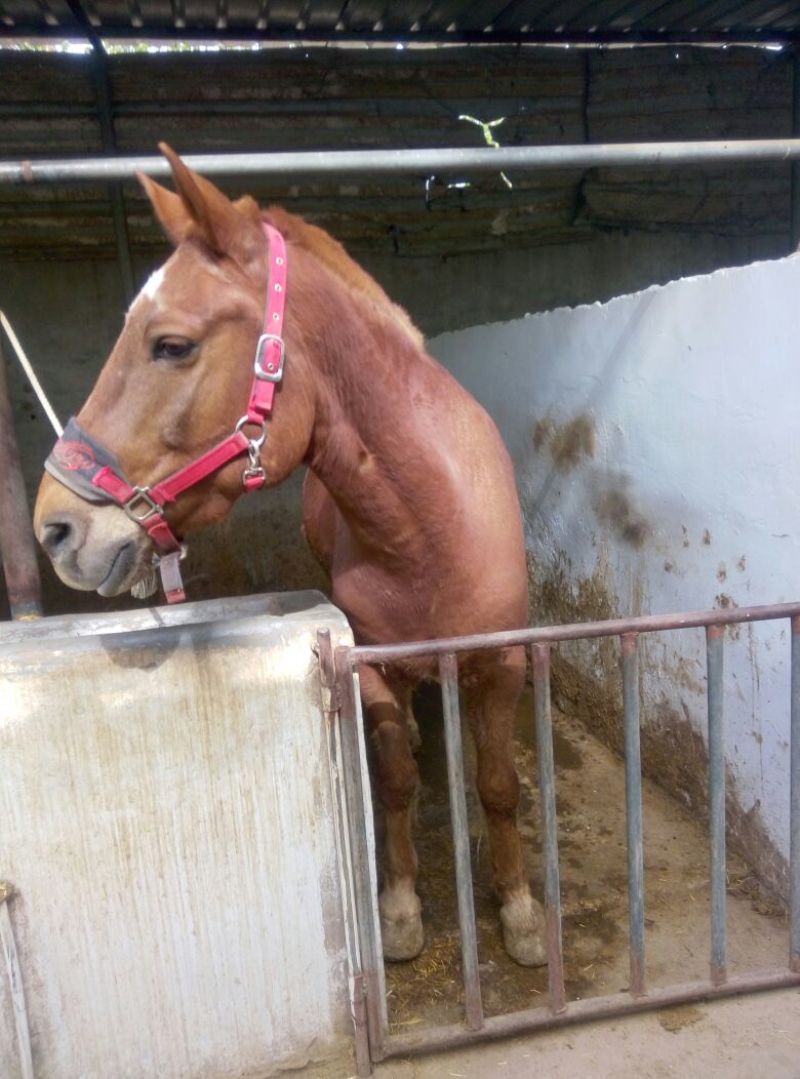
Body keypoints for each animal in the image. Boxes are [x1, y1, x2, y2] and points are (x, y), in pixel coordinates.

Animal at [33, 145, 545, 968]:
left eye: (171, 345)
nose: (56, 529)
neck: (429, 533)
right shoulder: (371, 665)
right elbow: (394, 780)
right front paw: (401, 907)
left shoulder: (503, 663)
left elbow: (499, 783)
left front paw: (521, 912)